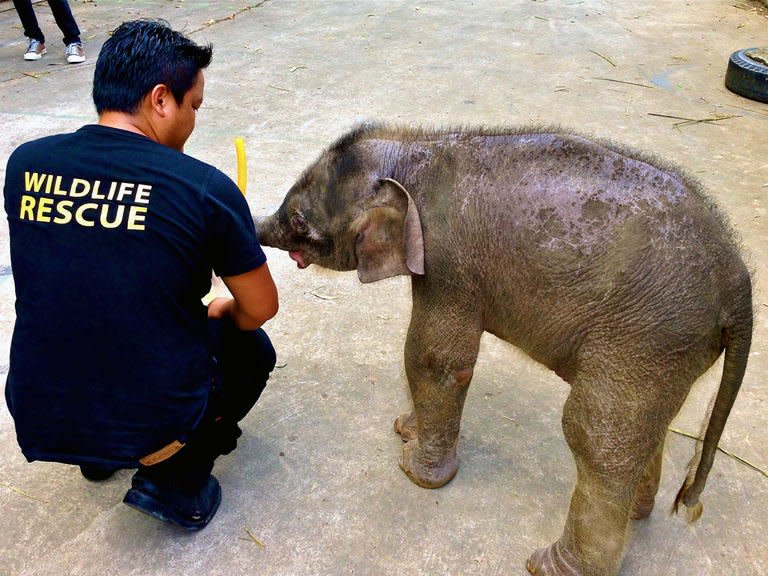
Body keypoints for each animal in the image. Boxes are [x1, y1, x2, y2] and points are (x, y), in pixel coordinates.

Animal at [256, 126, 752, 576]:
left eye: (299, 221)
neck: (414, 150)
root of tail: (739, 282)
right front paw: (406, 430)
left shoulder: (449, 264)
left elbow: (434, 359)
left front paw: (414, 471)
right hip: (664, 349)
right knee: (644, 428)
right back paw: (634, 513)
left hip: (647, 334)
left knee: (595, 434)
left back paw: (549, 567)